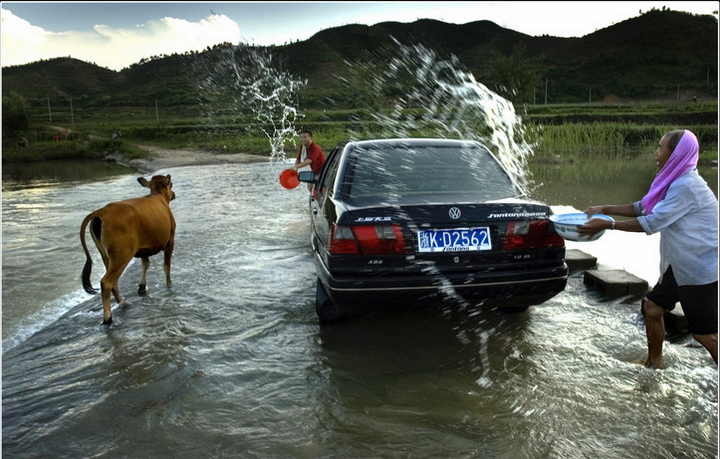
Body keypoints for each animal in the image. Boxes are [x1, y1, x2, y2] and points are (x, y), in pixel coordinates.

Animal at [80, 174, 176, 326]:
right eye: (171, 184)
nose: (173, 194)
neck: (159, 195)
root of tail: (102, 211)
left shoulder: (143, 248)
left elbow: (145, 264)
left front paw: (142, 287)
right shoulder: (170, 240)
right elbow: (166, 266)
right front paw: (168, 286)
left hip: (106, 255)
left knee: (113, 281)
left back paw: (122, 303)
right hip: (122, 255)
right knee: (107, 282)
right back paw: (108, 318)